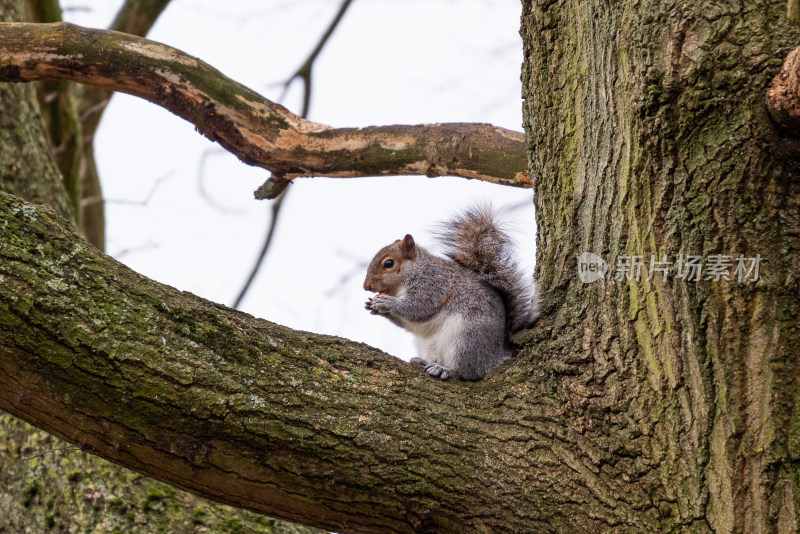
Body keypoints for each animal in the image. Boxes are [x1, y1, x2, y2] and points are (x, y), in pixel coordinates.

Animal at [364, 204, 540, 382]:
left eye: (389, 263)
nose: (366, 286)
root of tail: (495, 357)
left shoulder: (433, 284)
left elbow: (418, 309)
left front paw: (388, 303)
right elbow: (408, 322)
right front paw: (373, 306)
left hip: (467, 340)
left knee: (468, 372)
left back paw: (445, 370)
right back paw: (423, 361)